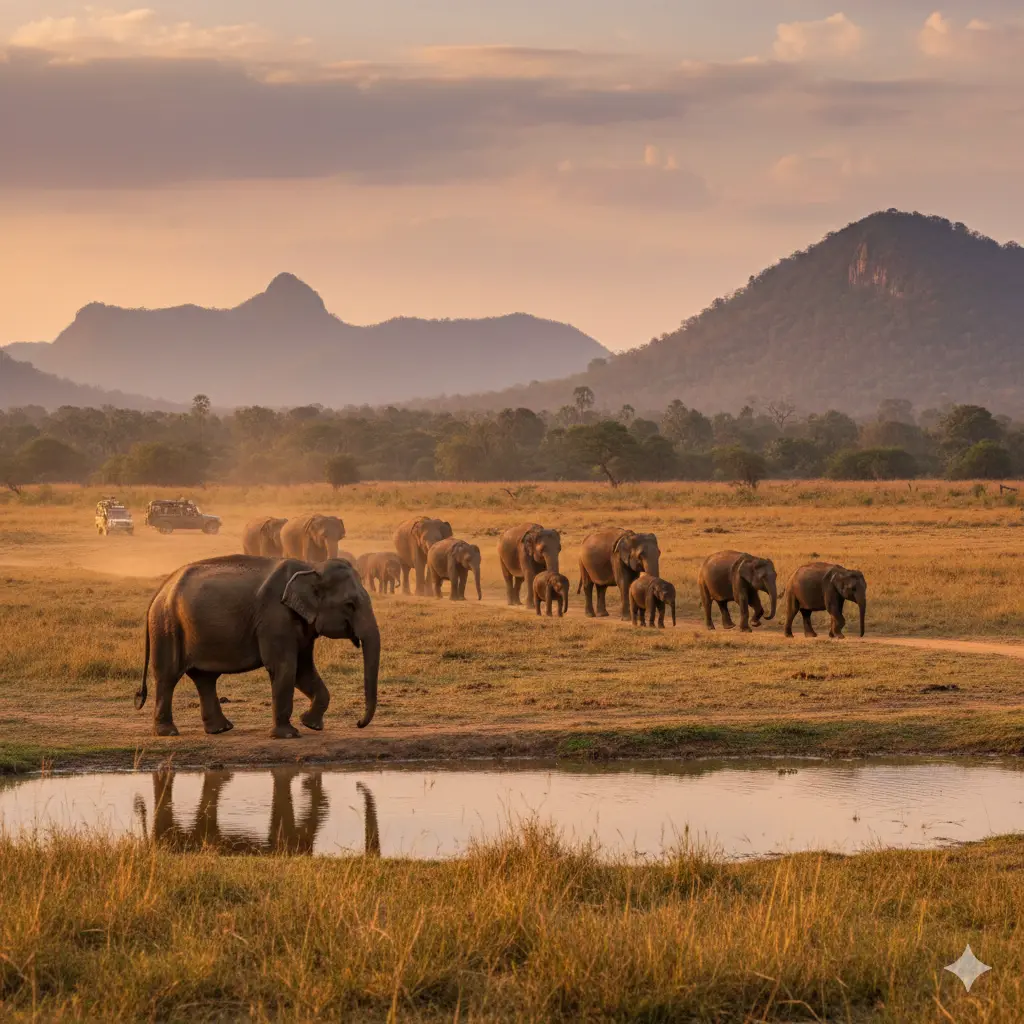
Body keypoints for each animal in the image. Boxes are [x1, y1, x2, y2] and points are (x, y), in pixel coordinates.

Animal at [135, 554, 379, 739]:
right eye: (350, 605)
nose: (358, 723)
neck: (311, 566)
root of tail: (159, 590)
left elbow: (303, 669)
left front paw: (310, 724)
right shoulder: (275, 618)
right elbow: (284, 667)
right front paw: (288, 735)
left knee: (205, 678)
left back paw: (220, 729)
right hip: (167, 626)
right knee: (168, 675)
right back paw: (168, 732)